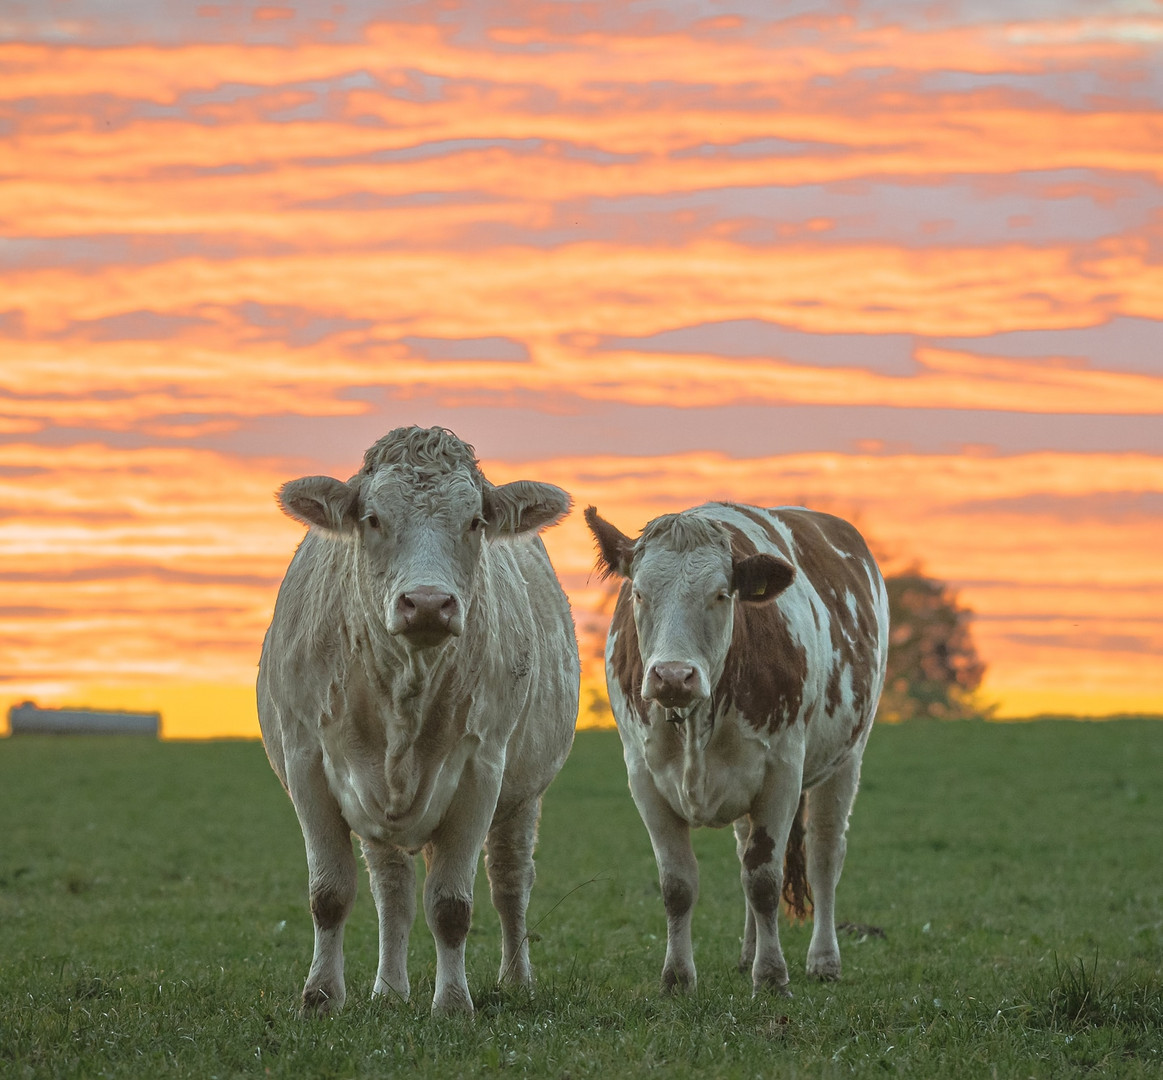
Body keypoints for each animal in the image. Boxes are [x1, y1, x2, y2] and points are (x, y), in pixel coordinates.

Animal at [258, 425, 576, 1013]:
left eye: (474, 521)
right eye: (373, 518)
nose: (427, 603)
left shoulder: (481, 770)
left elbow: (451, 905)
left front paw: (452, 1004)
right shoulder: (306, 762)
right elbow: (329, 894)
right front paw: (321, 997)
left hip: (522, 796)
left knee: (510, 881)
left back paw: (516, 979)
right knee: (394, 891)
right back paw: (389, 990)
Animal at [586, 504, 883, 995]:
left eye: (722, 595)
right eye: (640, 594)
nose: (672, 675)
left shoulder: (782, 773)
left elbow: (764, 879)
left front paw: (773, 977)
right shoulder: (643, 777)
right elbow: (678, 884)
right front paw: (677, 978)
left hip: (847, 760)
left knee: (824, 856)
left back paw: (823, 960)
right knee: (746, 847)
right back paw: (747, 954)